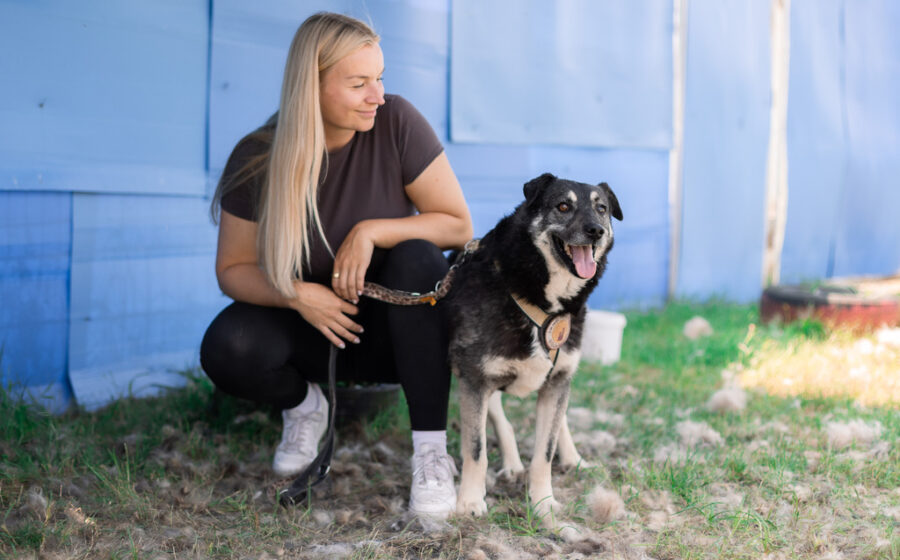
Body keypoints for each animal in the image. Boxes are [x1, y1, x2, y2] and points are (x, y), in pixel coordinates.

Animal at [446, 173, 622, 532]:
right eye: (563, 206)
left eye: (602, 209)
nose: (596, 230)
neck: (542, 301)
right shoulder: (474, 379)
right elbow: (476, 449)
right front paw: (470, 502)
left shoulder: (557, 380)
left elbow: (544, 453)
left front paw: (544, 506)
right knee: (498, 417)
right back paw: (512, 464)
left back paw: (572, 458)